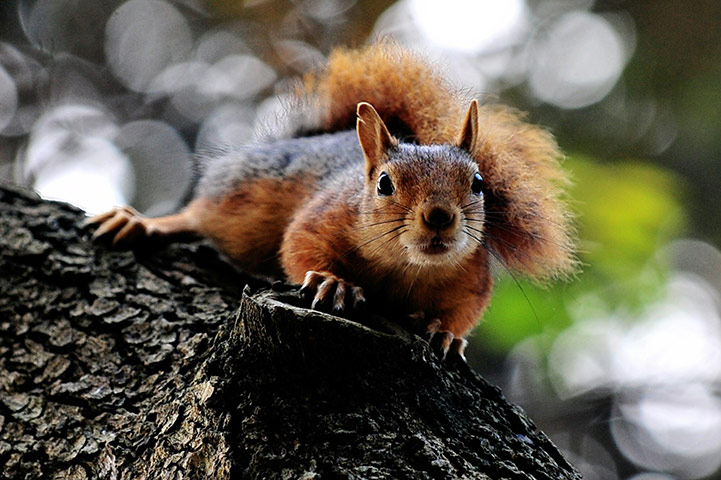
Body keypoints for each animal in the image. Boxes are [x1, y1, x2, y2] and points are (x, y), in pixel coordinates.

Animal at [88, 44, 576, 360]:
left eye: (477, 183)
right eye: (384, 184)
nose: (439, 217)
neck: (404, 267)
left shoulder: (472, 274)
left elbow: (466, 309)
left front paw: (447, 334)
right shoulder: (322, 217)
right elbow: (298, 247)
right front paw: (331, 281)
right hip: (243, 203)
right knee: (199, 215)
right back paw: (145, 223)